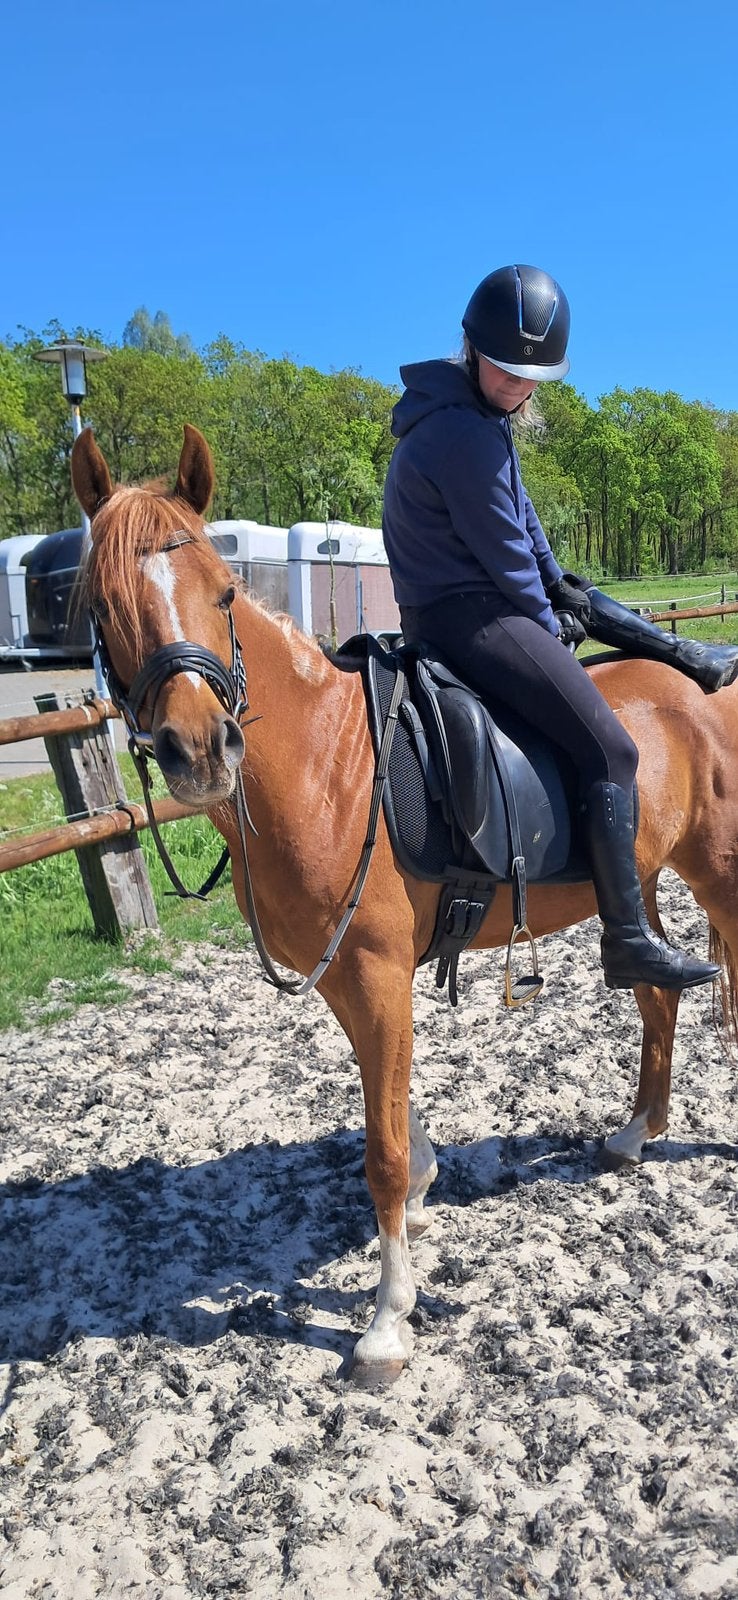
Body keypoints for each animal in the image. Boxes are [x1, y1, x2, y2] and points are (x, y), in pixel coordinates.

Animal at [71, 422, 738, 1383]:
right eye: (101, 604)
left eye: (224, 591)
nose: (199, 750)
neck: (325, 765)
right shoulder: (349, 977)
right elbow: (392, 1103)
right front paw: (424, 1187)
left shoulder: (378, 973)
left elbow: (379, 1154)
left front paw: (387, 1320)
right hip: (639, 888)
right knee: (655, 992)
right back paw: (636, 1132)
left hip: (718, 869)